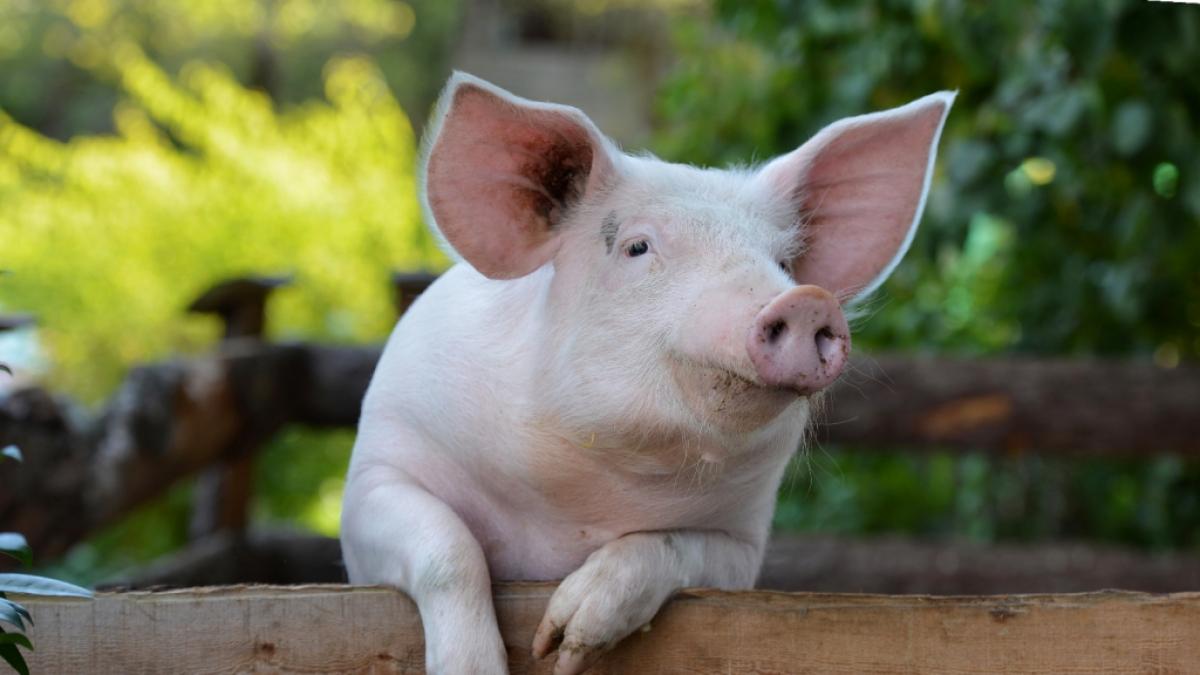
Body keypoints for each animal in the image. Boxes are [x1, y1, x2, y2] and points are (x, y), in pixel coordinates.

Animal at [341, 72, 953, 675]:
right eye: (637, 247)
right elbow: (449, 548)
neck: (575, 504)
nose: (807, 301)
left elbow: (669, 545)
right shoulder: (378, 471)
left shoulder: (741, 545)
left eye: (783, 263)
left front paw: (566, 647)